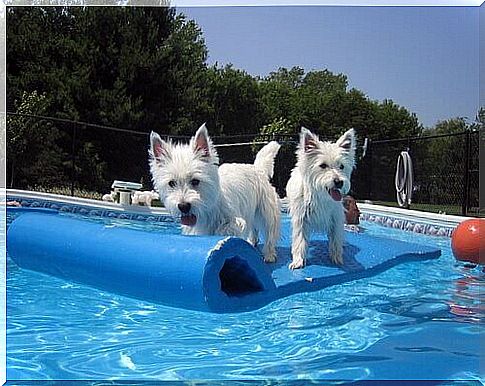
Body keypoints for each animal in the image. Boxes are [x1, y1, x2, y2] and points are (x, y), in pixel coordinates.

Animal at [149, 123, 282, 262]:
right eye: (171, 183)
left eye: (195, 181)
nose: (183, 206)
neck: (207, 208)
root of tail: (258, 169)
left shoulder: (234, 222)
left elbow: (224, 230)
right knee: (254, 229)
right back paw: (252, 243)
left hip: (267, 211)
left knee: (270, 232)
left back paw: (269, 255)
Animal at [284, 126, 356, 268]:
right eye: (323, 165)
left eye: (341, 166)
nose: (339, 182)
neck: (321, 196)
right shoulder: (301, 218)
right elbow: (299, 240)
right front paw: (298, 261)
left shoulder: (336, 218)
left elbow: (336, 239)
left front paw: (337, 258)